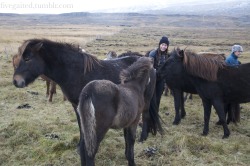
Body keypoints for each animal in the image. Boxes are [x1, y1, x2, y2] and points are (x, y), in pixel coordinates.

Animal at [12, 38, 163, 156]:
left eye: (27, 58)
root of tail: (150, 64)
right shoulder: (77, 105)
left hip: (146, 99)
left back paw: (143, 138)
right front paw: (79, 146)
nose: (16, 81)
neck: (75, 71)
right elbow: (81, 126)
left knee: (146, 114)